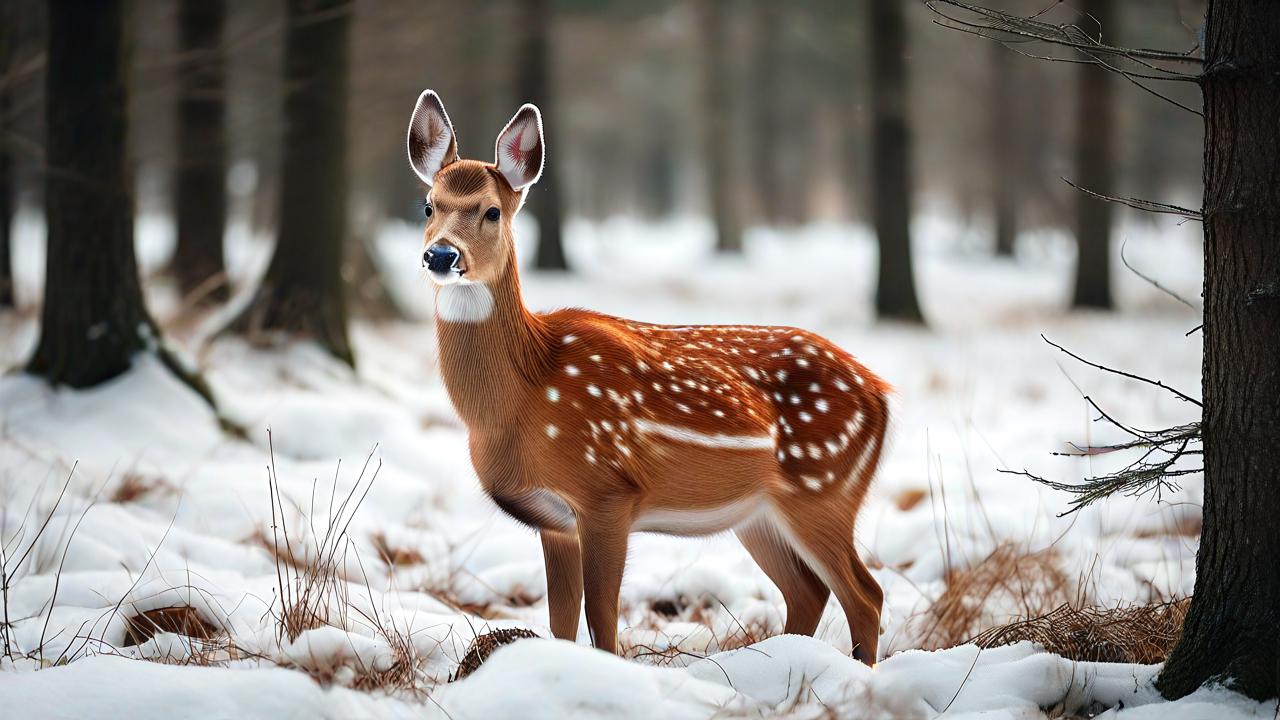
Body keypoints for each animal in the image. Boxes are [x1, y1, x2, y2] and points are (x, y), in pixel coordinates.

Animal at [407, 89, 890, 661]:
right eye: (428, 204)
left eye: (492, 211)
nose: (441, 254)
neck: (522, 401)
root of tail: (882, 394)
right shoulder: (554, 518)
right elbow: (561, 622)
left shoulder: (607, 492)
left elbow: (602, 619)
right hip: (761, 514)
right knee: (810, 591)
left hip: (823, 488)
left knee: (866, 594)